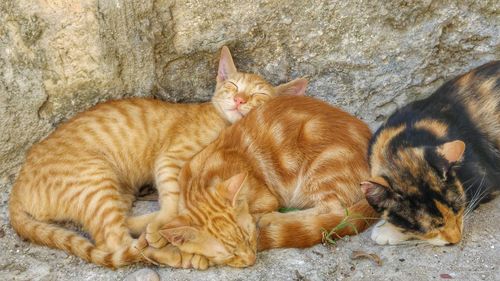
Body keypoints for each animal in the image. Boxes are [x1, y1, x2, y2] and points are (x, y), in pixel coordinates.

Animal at [8, 46, 308, 266]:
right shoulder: (171, 160)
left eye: (257, 95)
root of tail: (16, 188)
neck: (225, 125)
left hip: (115, 189)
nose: (239, 100)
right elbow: (174, 204)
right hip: (94, 180)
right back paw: (176, 253)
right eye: (233, 86)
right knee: (115, 243)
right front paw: (172, 230)